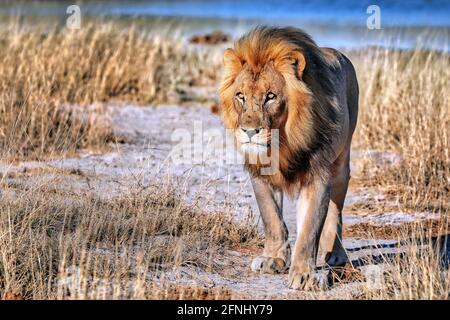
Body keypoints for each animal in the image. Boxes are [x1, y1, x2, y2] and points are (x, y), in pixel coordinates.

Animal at [218, 26, 358, 290]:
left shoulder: (317, 175)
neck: (282, 143)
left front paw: (304, 274)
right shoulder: (260, 173)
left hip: (342, 161)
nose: (249, 131)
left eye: (271, 96)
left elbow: (309, 229)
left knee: (336, 210)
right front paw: (274, 260)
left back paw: (335, 253)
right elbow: (272, 218)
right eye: (240, 96)